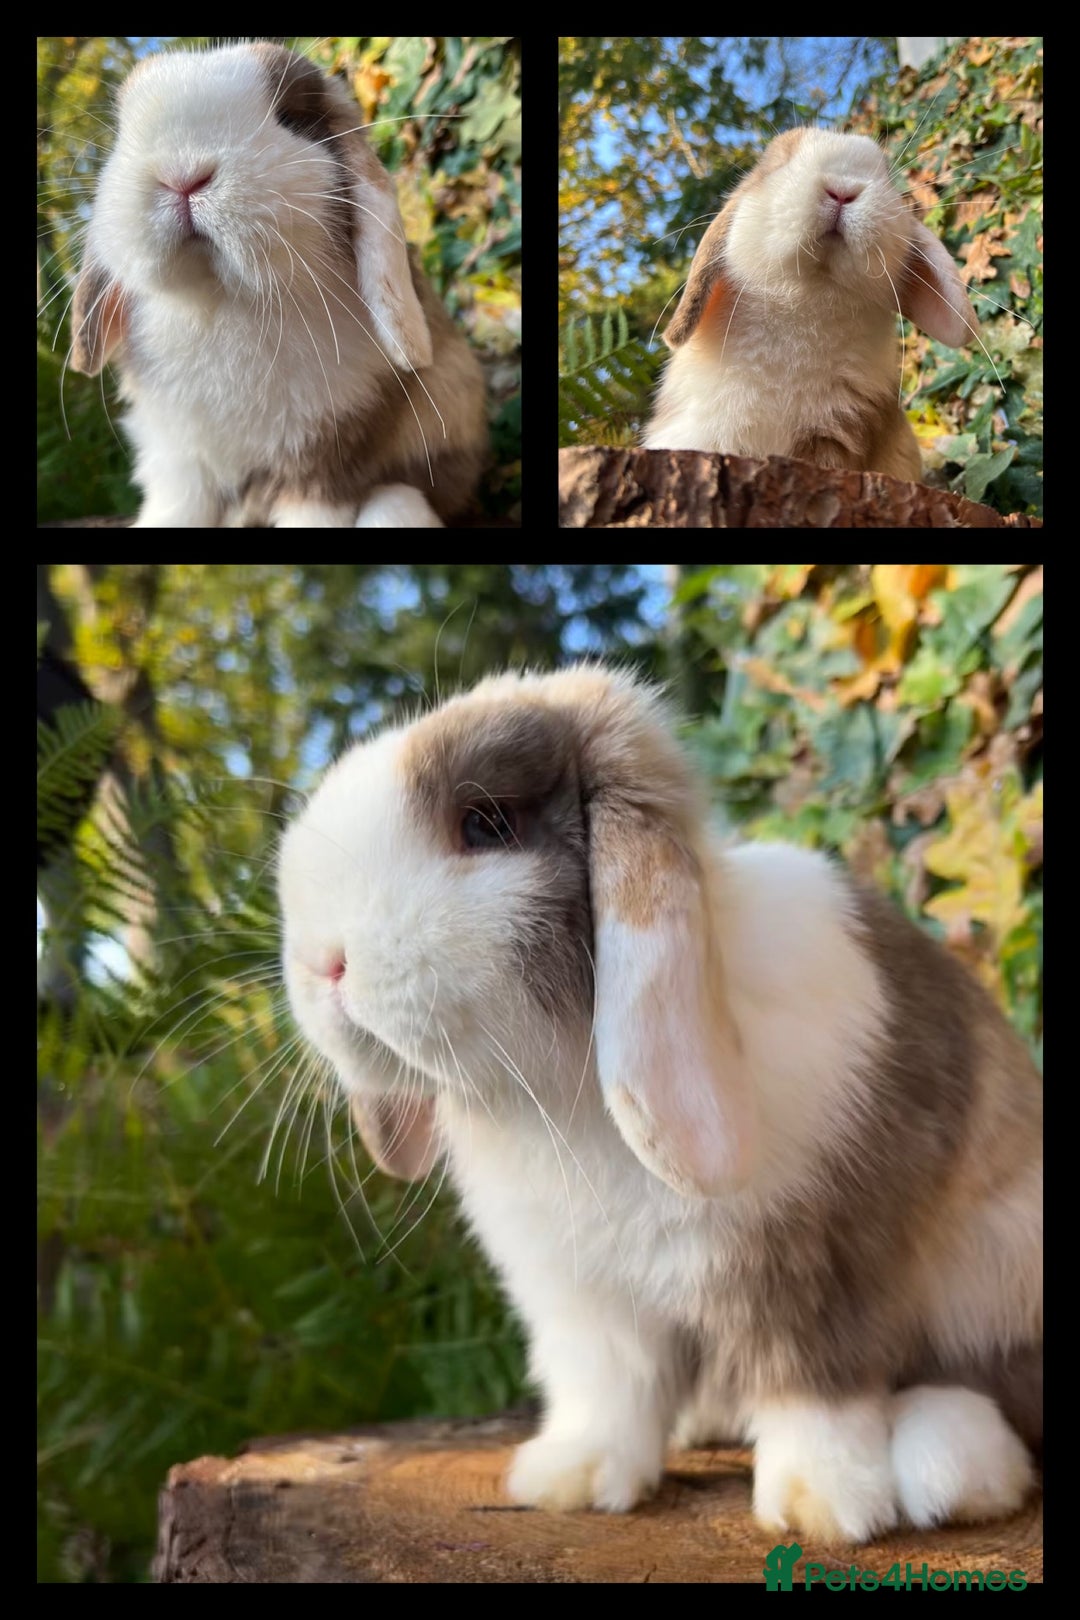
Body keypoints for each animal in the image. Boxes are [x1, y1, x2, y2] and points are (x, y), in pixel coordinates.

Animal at [69, 42, 487, 528]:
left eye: (289, 118)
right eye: (123, 133)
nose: (181, 174)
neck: (222, 302)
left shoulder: (328, 460)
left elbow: (317, 509)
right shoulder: (181, 460)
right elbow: (177, 507)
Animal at [278, 663, 1042, 1546]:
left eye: (485, 824)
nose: (321, 962)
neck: (563, 1091)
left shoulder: (818, 1265)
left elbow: (815, 1386)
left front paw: (823, 1504)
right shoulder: (586, 1302)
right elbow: (609, 1390)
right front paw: (569, 1479)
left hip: (996, 1270)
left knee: (997, 1388)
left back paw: (952, 1469)